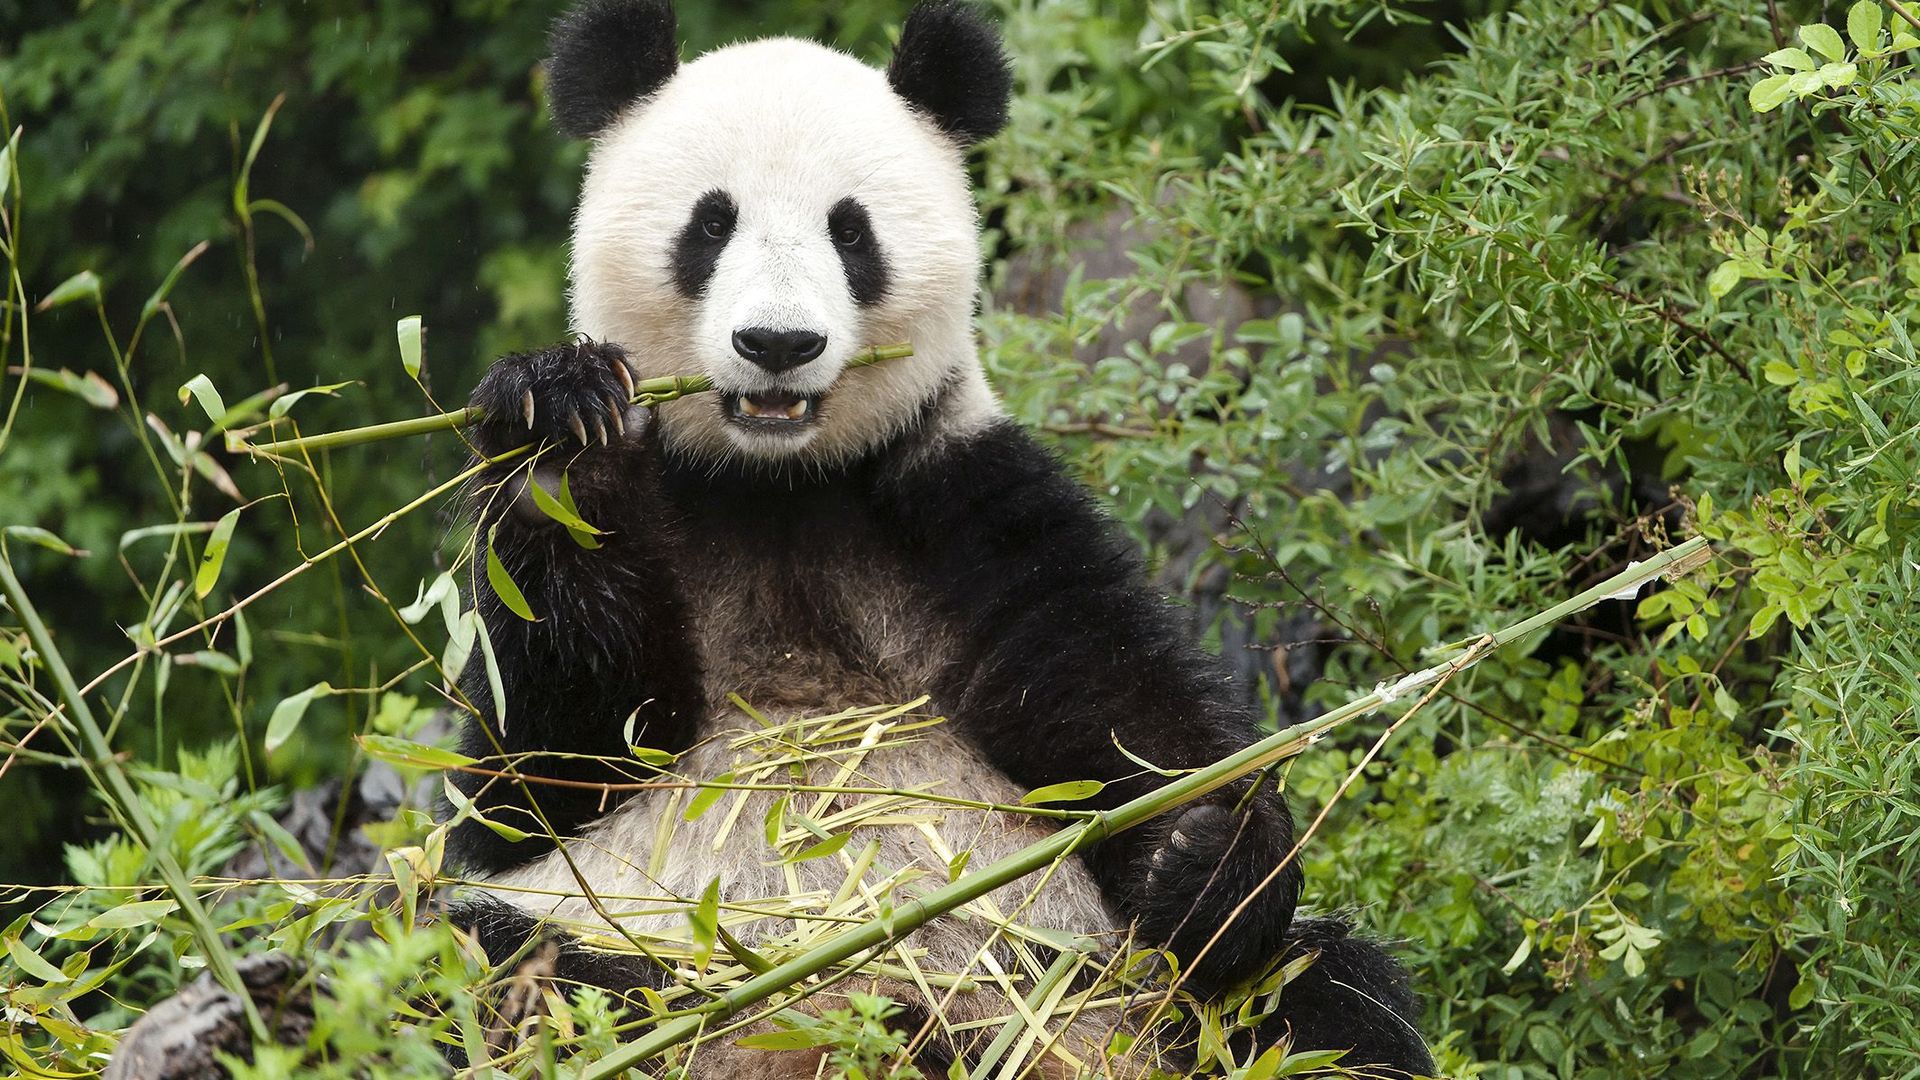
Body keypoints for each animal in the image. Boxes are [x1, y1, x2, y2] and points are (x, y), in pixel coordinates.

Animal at [447, 1, 1433, 1075]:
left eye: (850, 231)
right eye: (711, 224)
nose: (778, 345)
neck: (775, 486)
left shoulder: (958, 508)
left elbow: (1123, 706)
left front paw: (1206, 855)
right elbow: (545, 764)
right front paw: (559, 438)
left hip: (1117, 994)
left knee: (1326, 1001)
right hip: (627, 953)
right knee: (490, 970)